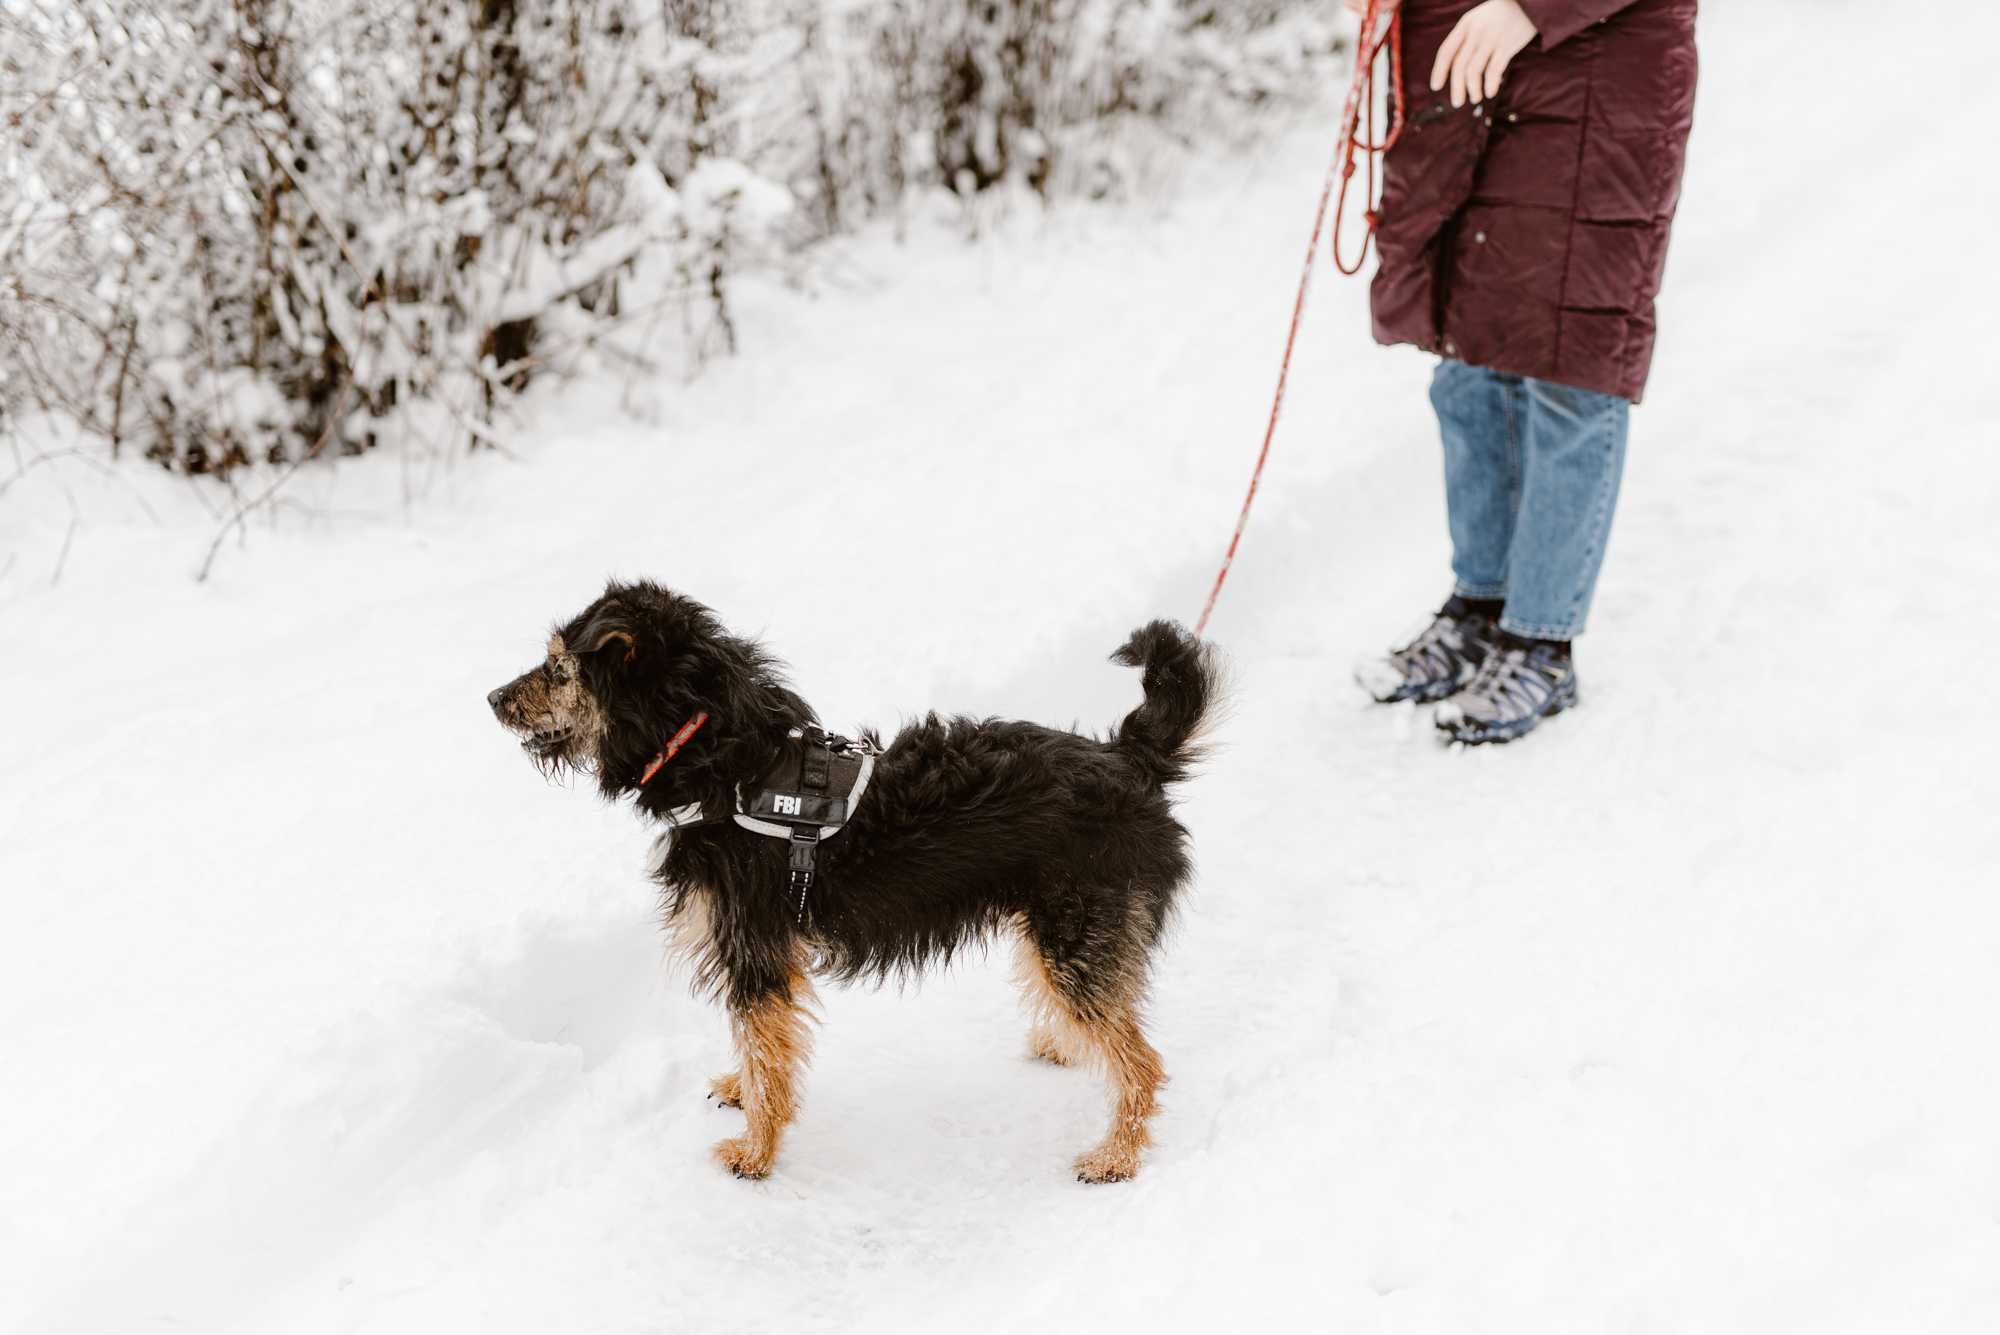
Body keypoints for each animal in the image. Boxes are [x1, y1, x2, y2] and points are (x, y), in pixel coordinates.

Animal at [492, 579, 1208, 1183]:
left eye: (558, 668)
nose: (494, 698)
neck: (725, 765)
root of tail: (1130, 758)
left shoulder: (755, 949)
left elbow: (766, 1051)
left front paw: (756, 1152)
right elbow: (758, 1051)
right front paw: (742, 1093)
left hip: (1076, 929)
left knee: (1142, 1060)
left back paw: (1116, 1155)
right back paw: (1065, 1044)